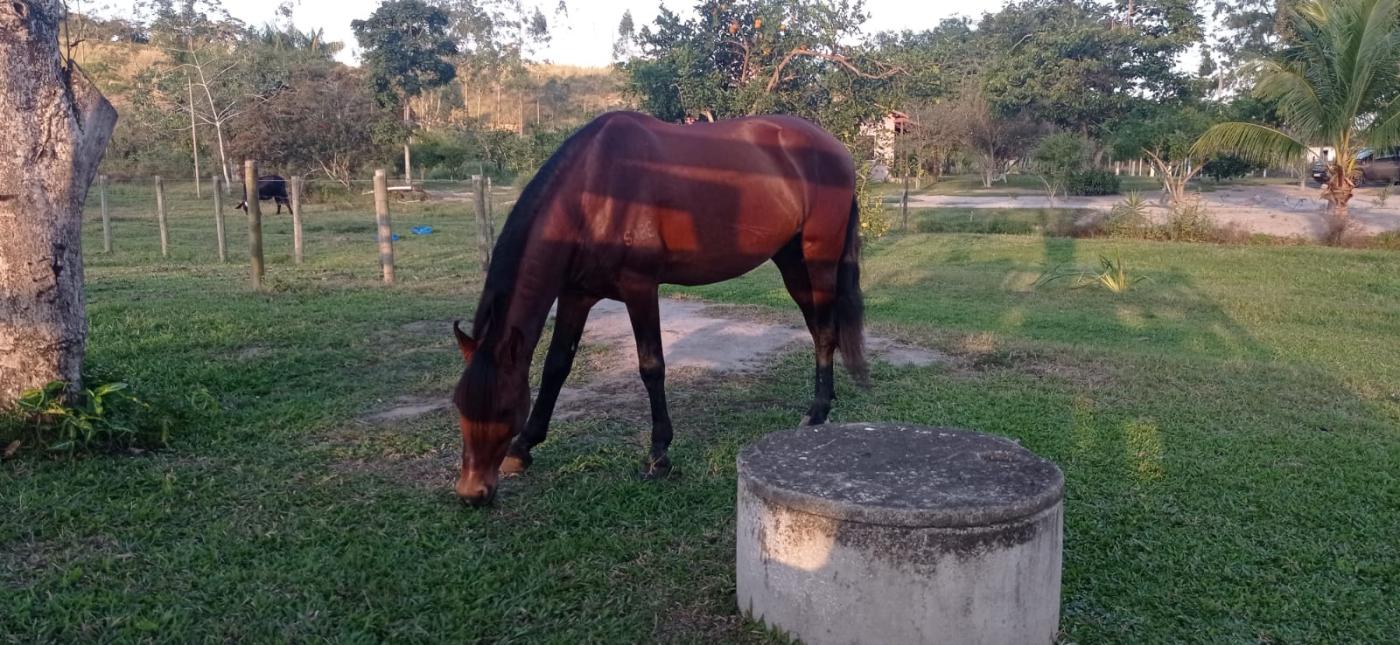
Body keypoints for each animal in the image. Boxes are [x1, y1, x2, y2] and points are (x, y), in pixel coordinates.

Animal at [450, 110, 862, 506]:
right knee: (817, 328)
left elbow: (652, 367)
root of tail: (837, 149)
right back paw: (825, 400)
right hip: (791, 261)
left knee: (826, 330)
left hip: (819, 258)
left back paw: (816, 413)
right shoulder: (575, 295)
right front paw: (523, 447)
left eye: (505, 409)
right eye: (458, 405)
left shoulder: (640, 288)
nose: (472, 492)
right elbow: (556, 367)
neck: (594, 192)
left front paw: (659, 455)